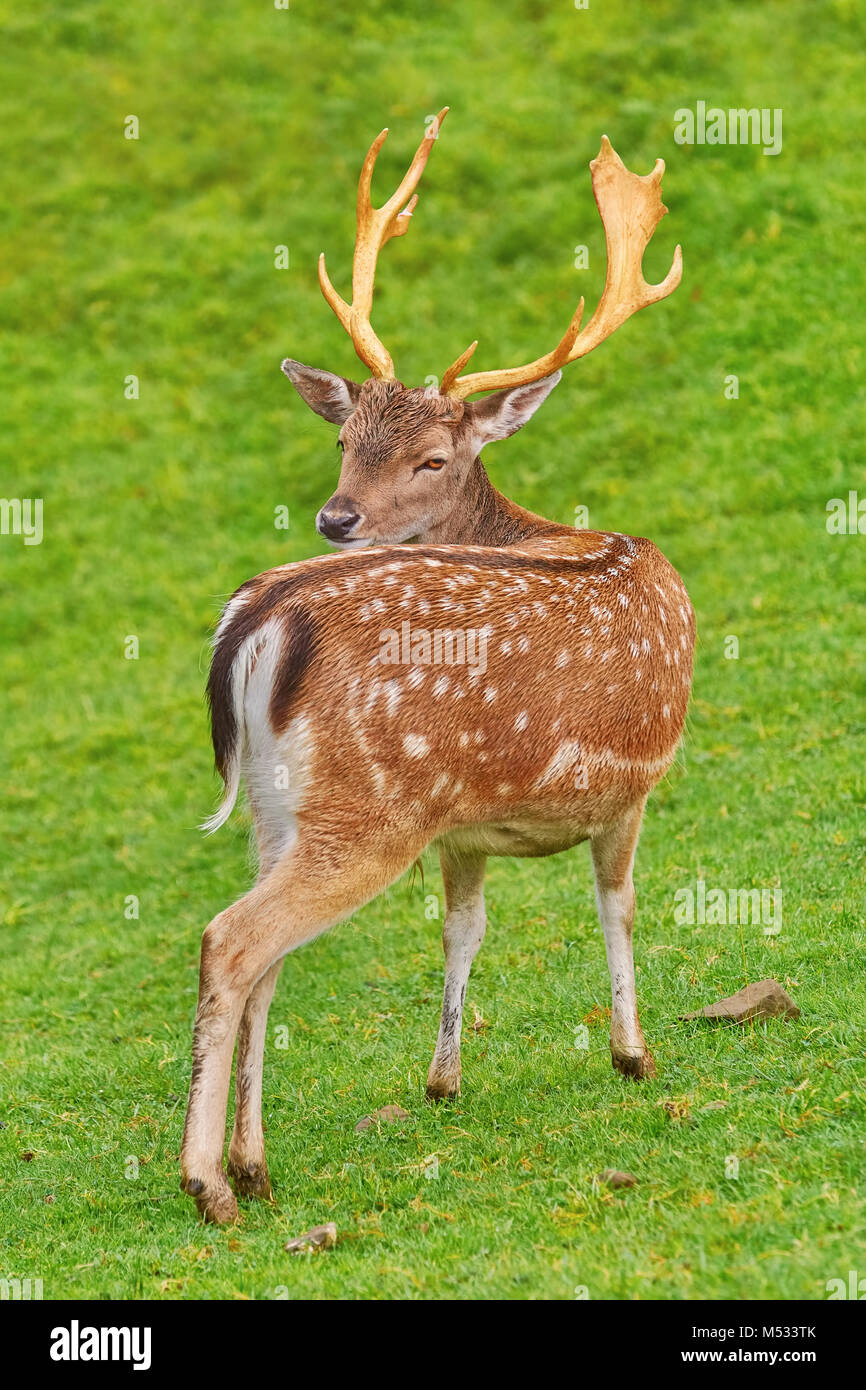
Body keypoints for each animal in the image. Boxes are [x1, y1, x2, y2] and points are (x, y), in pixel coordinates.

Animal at [180, 109, 693, 1224]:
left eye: (429, 458)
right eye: (343, 442)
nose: (335, 516)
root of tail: (258, 618)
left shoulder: (461, 827)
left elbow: (462, 927)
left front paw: (444, 1077)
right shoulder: (631, 786)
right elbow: (618, 902)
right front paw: (633, 1054)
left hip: (283, 813)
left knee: (265, 960)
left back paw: (254, 1163)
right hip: (364, 811)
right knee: (231, 941)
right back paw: (208, 1185)